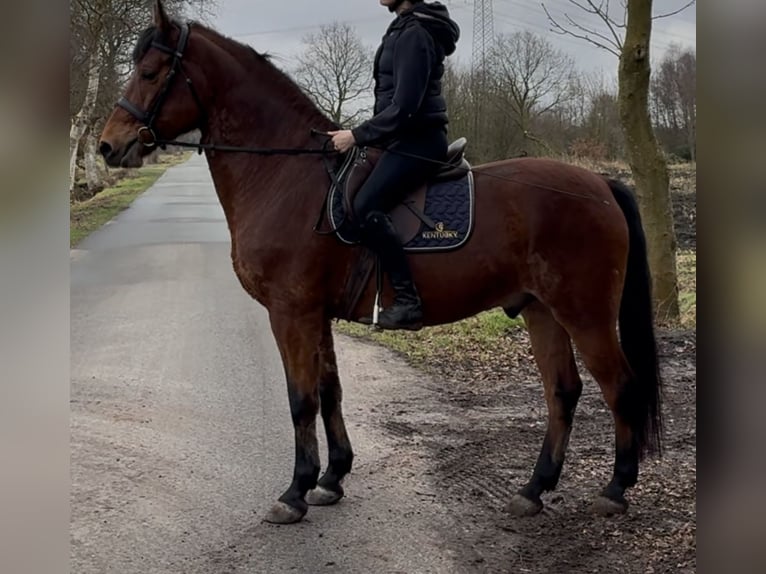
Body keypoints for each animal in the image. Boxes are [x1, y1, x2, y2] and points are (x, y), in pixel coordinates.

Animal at [100, 1, 664, 528]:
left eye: (149, 71)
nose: (109, 146)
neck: (286, 178)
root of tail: (601, 184)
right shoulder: (315, 315)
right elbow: (329, 390)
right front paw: (331, 478)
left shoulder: (290, 312)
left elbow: (300, 398)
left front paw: (295, 492)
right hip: (540, 310)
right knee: (563, 391)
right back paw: (533, 489)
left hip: (585, 313)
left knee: (620, 385)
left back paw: (615, 489)